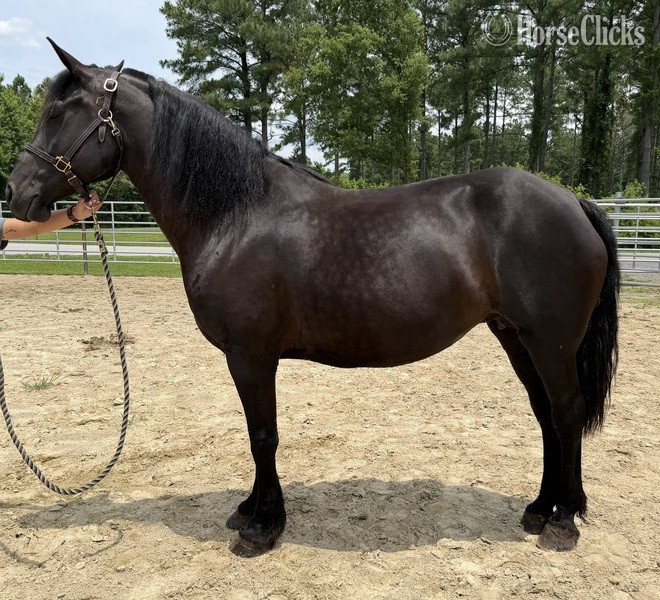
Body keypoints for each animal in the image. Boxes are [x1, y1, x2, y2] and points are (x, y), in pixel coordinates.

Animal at [5, 40, 619, 557]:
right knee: (545, 414)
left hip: (550, 342)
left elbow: (262, 436)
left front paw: (262, 527)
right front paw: (249, 509)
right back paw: (540, 509)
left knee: (566, 411)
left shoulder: (250, 355)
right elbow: (257, 436)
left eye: (58, 114)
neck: (235, 214)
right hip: (515, 336)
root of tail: (573, 202)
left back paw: (563, 522)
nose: (16, 193)